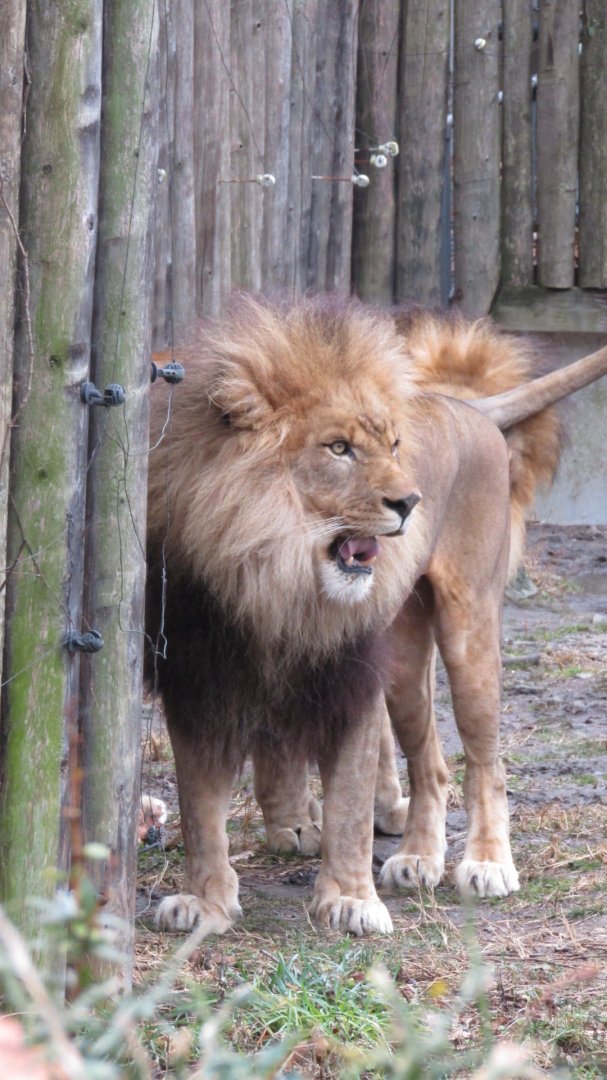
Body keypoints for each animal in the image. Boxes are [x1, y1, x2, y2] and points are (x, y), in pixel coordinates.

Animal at [146, 295, 607, 936]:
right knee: (431, 763)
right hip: (406, 663)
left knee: (486, 761)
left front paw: (349, 901)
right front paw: (204, 901)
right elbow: (198, 807)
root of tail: (468, 408)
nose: (410, 502)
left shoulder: (352, 678)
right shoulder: (197, 677)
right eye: (338, 448)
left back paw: (488, 864)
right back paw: (418, 858)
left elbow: (348, 803)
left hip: (469, 631)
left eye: (392, 445)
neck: (276, 577)